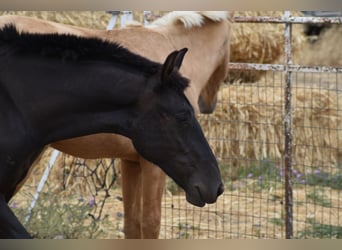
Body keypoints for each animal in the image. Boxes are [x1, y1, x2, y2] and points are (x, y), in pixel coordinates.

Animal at [0, 11, 232, 238]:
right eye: (183, 115)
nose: (216, 186)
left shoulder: (131, 161)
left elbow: (132, 225)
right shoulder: (152, 166)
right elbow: (150, 224)